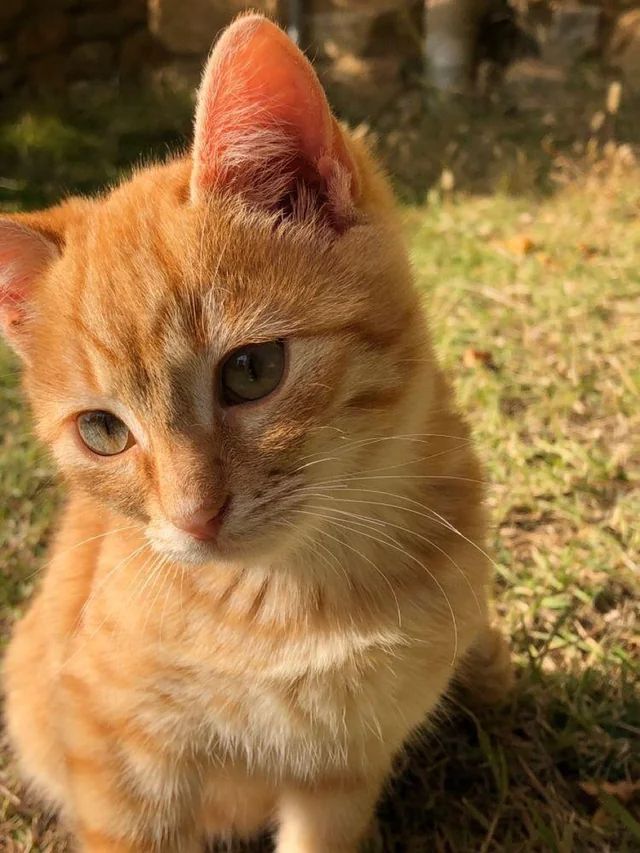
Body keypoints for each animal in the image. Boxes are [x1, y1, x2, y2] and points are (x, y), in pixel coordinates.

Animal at [0, 13, 510, 852]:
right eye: (103, 430)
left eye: (251, 370)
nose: (193, 518)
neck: (290, 601)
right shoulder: (119, 758)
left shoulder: (343, 768)